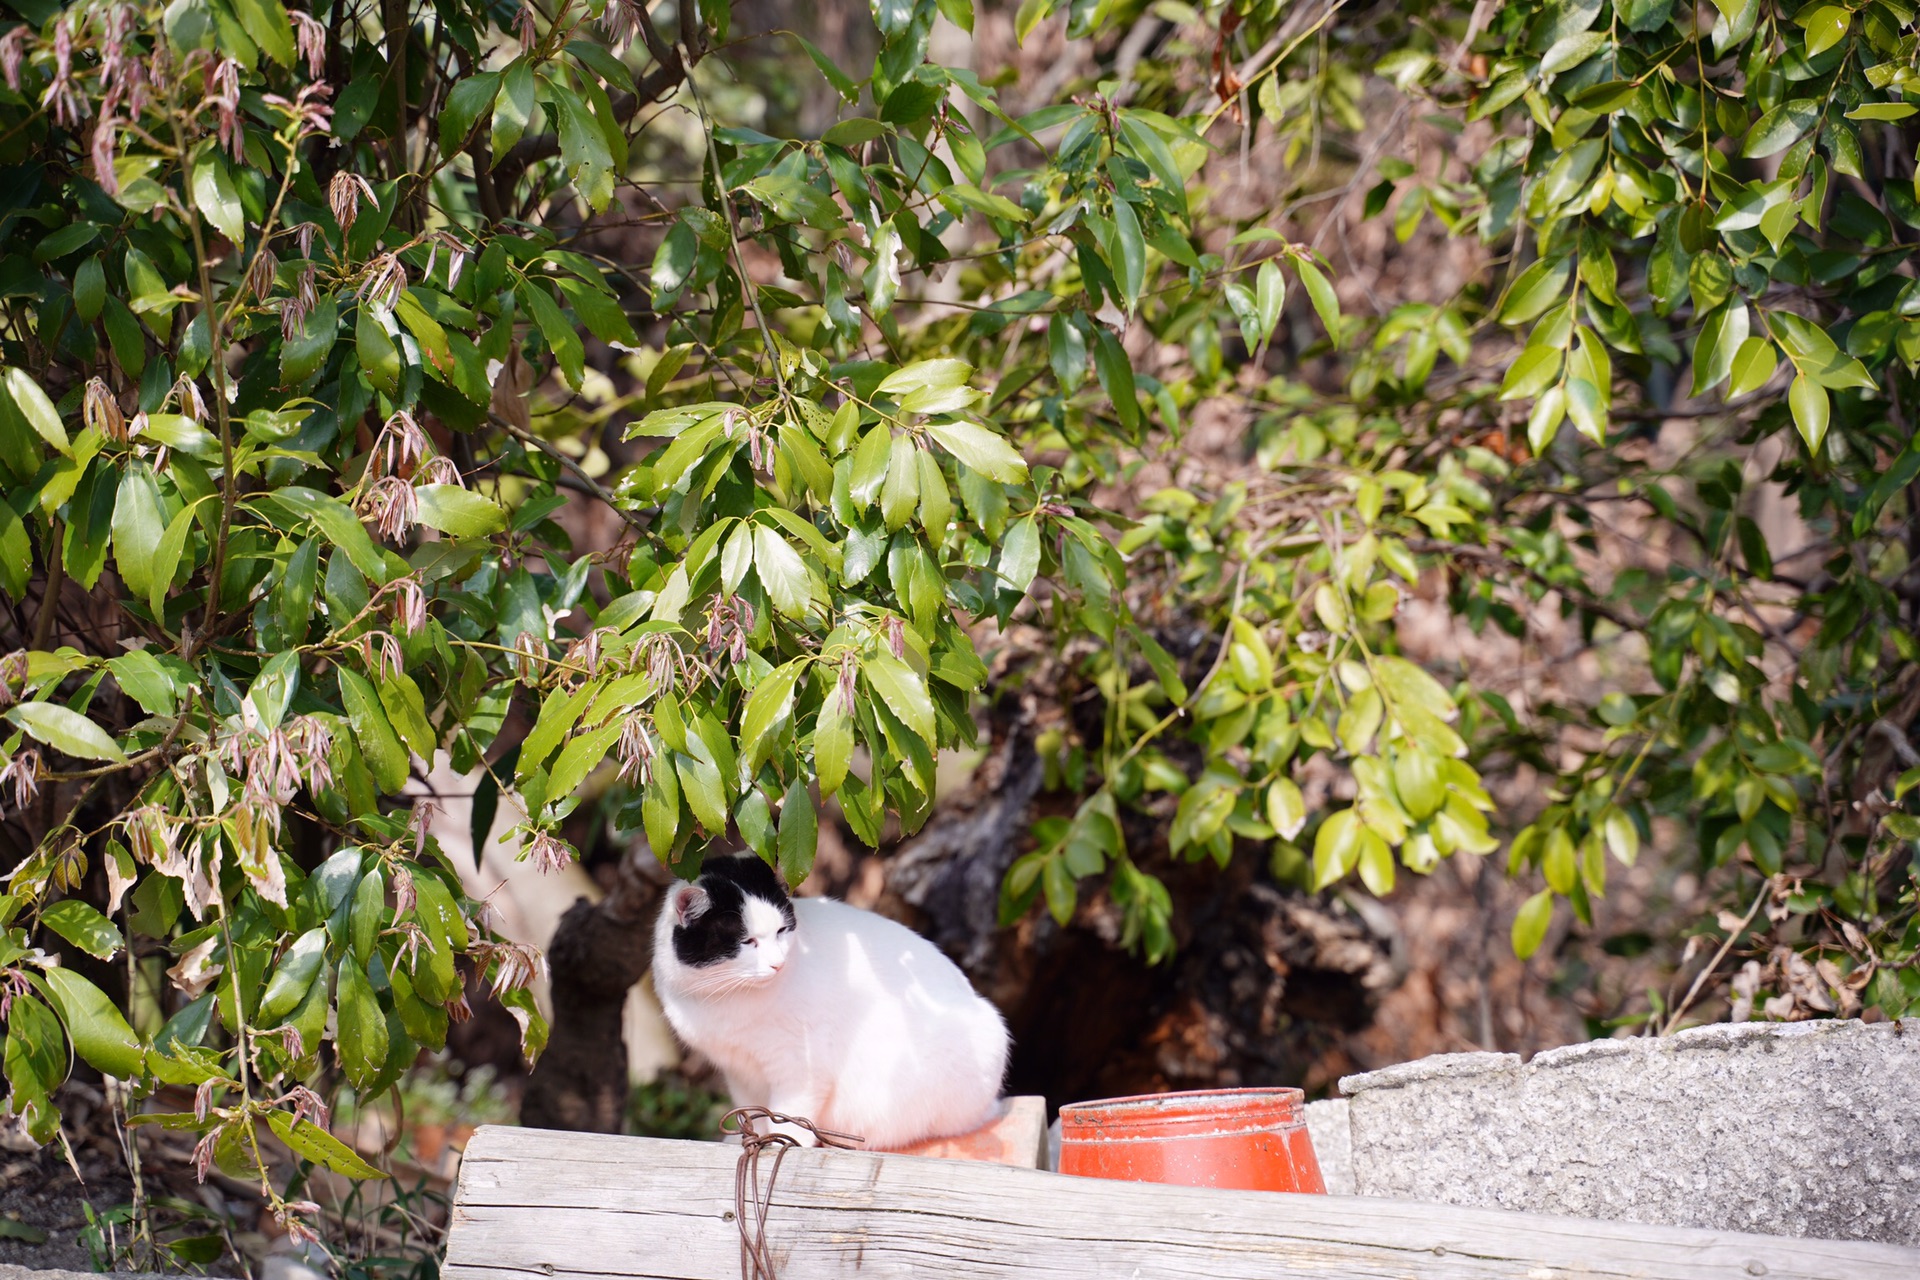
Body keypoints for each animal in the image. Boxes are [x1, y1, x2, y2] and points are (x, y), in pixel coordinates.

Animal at [648, 855, 1013, 1143]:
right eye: (747, 941)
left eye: (781, 931)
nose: (777, 964)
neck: (724, 997)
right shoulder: (739, 1072)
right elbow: (753, 1113)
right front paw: (750, 1137)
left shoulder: (800, 1066)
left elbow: (788, 1115)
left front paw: (782, 1142)